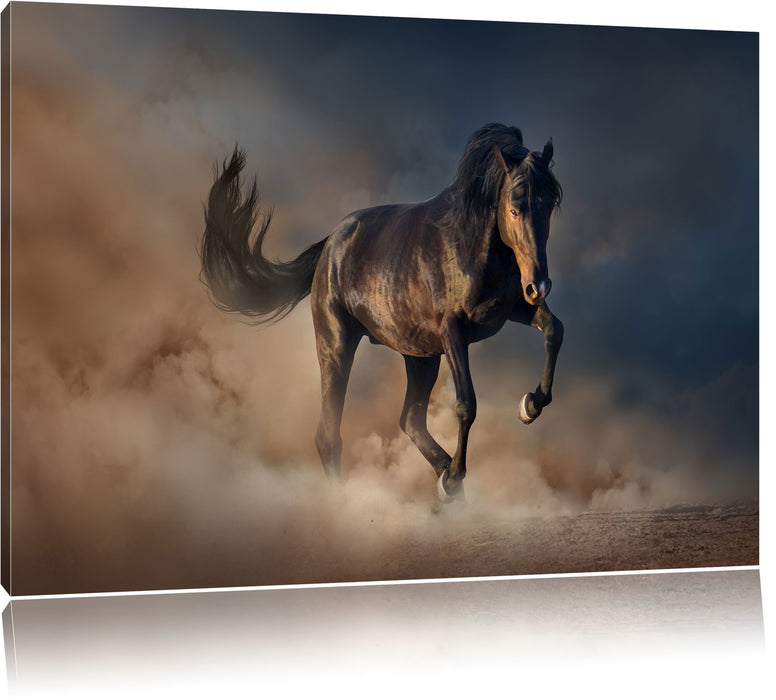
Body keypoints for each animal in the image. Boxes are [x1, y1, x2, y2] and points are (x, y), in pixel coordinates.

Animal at [199, 123, 563, 503]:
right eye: (514, 208)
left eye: (550, 204)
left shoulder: (515, 309)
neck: (470, 245)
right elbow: (467, 403)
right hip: (337, 346)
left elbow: (555, 330)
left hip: (420, 356)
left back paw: (445, 479)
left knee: (410, 420)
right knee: (329, 435)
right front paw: (456, 474)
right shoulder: (453, 331)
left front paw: (530, 405)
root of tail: (331, 244)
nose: (540, 284)